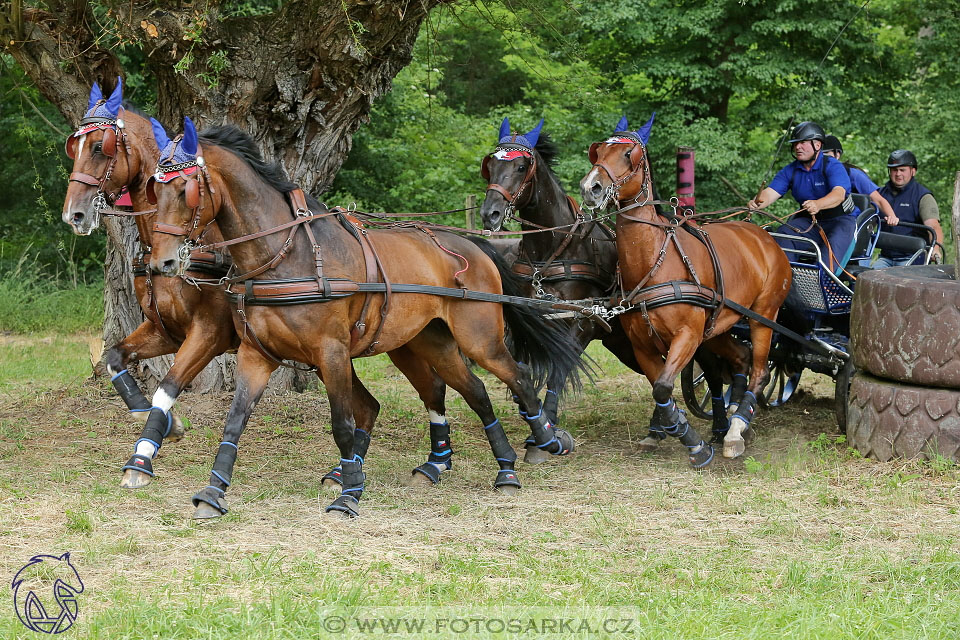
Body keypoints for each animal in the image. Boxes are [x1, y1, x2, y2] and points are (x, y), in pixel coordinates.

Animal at [145, 117, 580, 516]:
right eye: (155, 188)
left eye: (185, 189)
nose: (162, 262)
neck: (285, 254)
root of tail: (474, 245)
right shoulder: (257, 354)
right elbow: (235, 420)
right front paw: (214, 490)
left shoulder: (332, 353)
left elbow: (342, 423)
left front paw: (349, 494)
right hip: (429, 342)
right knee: (473, 391)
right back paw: (494, 465)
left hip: (481, 339)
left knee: (518, 379)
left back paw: (540, 445)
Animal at [480, 117, 736, 452]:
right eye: (490, 166)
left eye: (522, 166)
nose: (490, 213)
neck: (553, 250)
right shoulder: (533, 322)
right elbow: (525, 371)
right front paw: (536, 419)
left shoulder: (584, 323)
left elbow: (559, 372)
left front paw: (549, 431)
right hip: (626, 344)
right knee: (659, 374)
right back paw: (659, 427)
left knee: (711, 373)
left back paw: (717, 427)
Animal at [576, 116, 788, 464]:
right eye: (598, 152)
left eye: (628, 155)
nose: (590, 187)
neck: (654, 263)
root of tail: (765, 235)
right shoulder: (643, 346)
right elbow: (661, 391)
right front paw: (683, 436)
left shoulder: (687, 335)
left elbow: (663, 387)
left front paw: (695, 444)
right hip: (718, 327)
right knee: (741, 359)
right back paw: (733, 419)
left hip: (763, 316)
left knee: (760, 372)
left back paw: (735, 430)